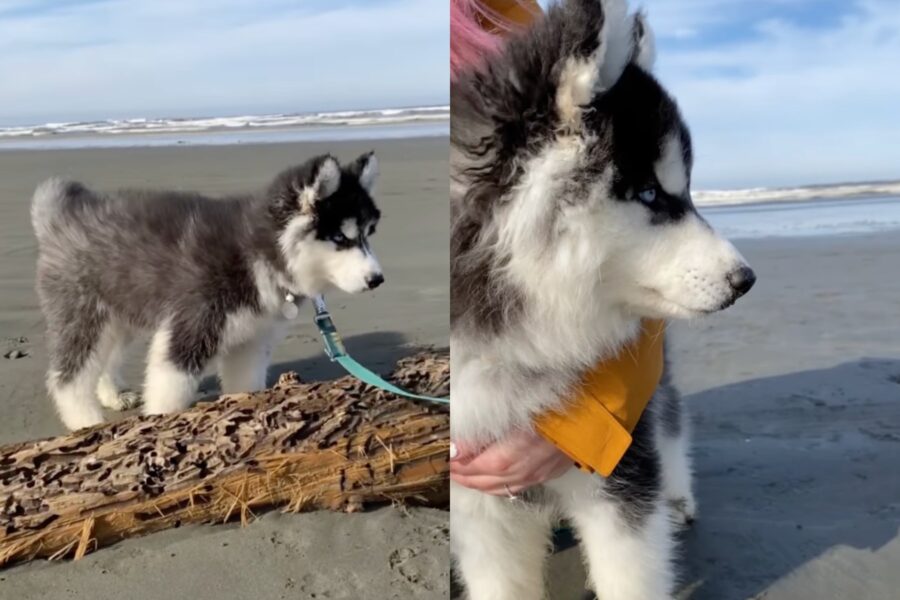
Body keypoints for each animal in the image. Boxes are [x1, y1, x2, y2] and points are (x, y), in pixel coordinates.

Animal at [31, 152, 382, 428]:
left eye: (368, 234)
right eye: (340, 237)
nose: (377, 279)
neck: (258, 250)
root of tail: (63, 217)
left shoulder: (252, 341)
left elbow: (245, 383)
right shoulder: (192, 327)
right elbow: (169, 393)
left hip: (121, 311)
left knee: (106, 358)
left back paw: (113, 395)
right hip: (84, 314)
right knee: (68, 379)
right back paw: (86, 423)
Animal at [454, 1, 756, 600]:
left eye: (684, 190)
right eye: (649, 193)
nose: (745, 279)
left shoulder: (620, 477)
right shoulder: (476, 503)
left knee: (667, 413)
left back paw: (678, 496)